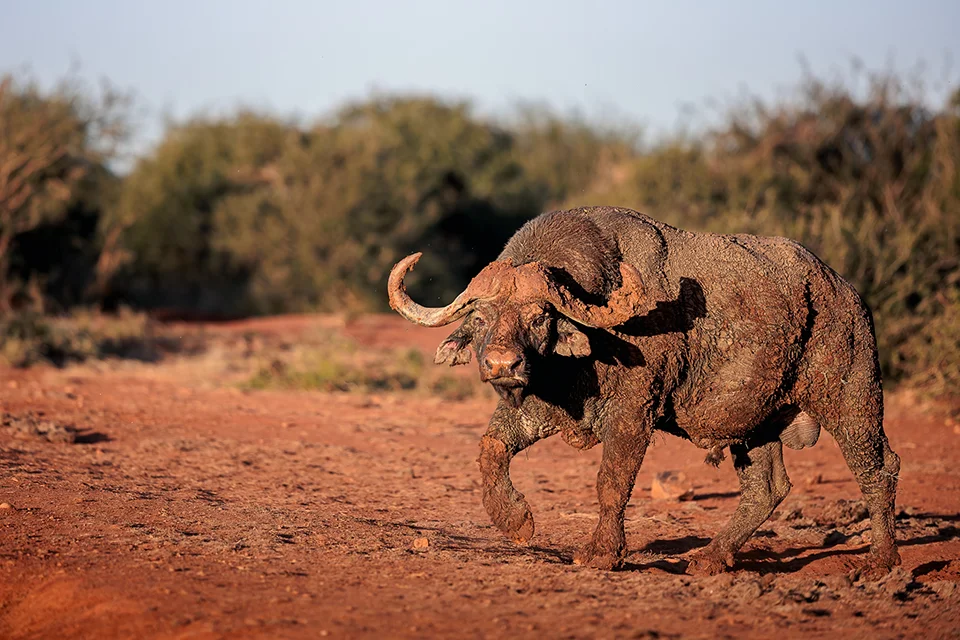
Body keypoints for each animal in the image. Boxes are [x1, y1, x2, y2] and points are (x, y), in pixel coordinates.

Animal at [387, 206, 900, 577]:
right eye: (479, 318)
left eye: (539, 317)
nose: (501, 365)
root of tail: (846, 292)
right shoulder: (538, 407)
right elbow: (491, 450)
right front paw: (516, 521)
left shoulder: (634, 415)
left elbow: (611, 482)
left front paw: (601, 553)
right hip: (754, 424)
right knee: (767, 488)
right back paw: (710, 558)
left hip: (852, 399)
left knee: (879, 469)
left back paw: (880, 561)